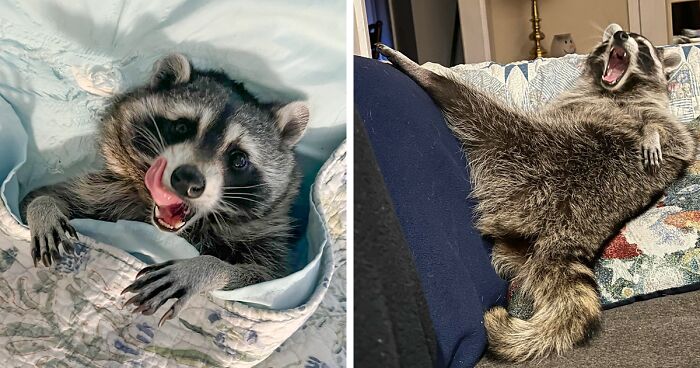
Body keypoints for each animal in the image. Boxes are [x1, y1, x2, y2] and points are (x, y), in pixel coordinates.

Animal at [19, 54, 308, 324]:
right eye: (181, 127)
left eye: (239, 159)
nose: (187, 180)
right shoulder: (109, 190)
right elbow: (36, 199)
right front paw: (43, 208)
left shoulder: (267, 248)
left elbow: (259, 285)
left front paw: (204, 268)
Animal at [380, 24, 696, 364]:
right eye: (618, 39)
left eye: (642, 45)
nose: (620, 35)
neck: (616, 89)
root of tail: (565, 230)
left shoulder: (651, 111)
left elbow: (675, 133)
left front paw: (651, 132)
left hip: (522, 143)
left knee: (471, 103)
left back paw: (423, 72)